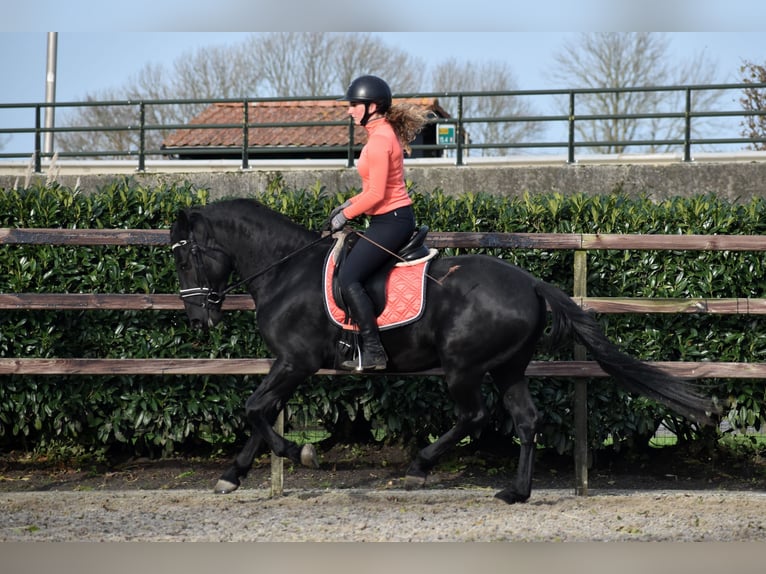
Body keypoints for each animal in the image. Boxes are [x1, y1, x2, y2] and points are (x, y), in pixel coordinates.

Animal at [170, 200, 720, 506]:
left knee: (473, 416)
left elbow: (255, 410)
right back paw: (516, 492)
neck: (287, 272)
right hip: (508, 367)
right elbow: (260, 415)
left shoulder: (295, 363)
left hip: (463, 367)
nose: (198, 320)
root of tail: (532, 284)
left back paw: (420, 467)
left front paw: (300, 453)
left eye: (185, 256)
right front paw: (232, 476)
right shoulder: (289, 366)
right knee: (526, 419)